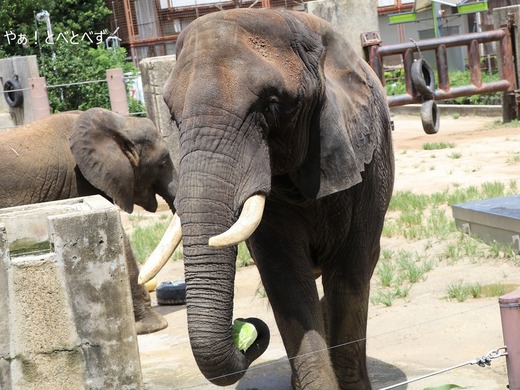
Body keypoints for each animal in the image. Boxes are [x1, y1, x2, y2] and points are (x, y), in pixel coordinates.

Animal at [140, 7, 392, 388]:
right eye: (172, 115)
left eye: (272, 107)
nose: (246, 327)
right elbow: (287, 283)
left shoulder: (366, 164)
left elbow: (349, 275)